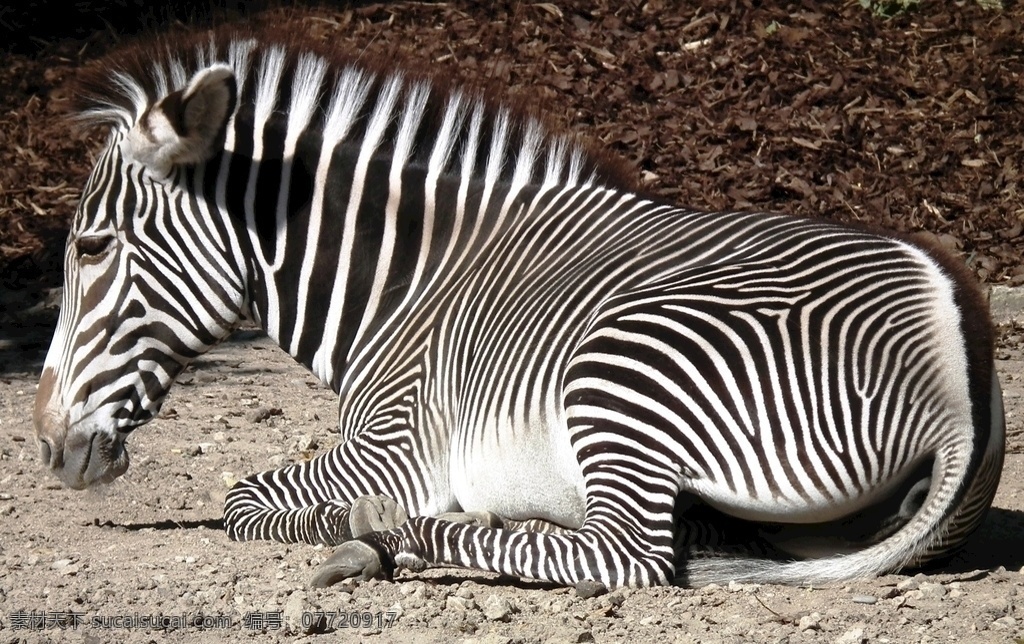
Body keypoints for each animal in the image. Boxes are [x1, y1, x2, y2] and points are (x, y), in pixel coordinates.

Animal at [32, 25, 999, 589]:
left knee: (626, 557)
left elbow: (241, 500)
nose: (46, 448)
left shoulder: (389, 447)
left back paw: (404, 536)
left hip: (623, 365)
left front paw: (355, 521)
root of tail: (955, 363)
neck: (405, 284)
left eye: (91, 248)